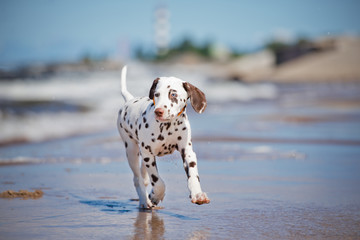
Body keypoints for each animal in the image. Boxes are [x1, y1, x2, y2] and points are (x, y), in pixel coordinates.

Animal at [116, 65, 210, 208]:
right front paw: (155, 196)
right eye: (156, 94)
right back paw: (144, 201)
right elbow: (158, 181)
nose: (158, 111)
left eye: (173, 94)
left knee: (143, 175)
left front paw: (198, 194)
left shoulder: (187, 152)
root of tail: (129, 100)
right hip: (131, 150)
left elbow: (193, 175)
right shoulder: (148, 154)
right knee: (137, 178)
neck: (168, 127)